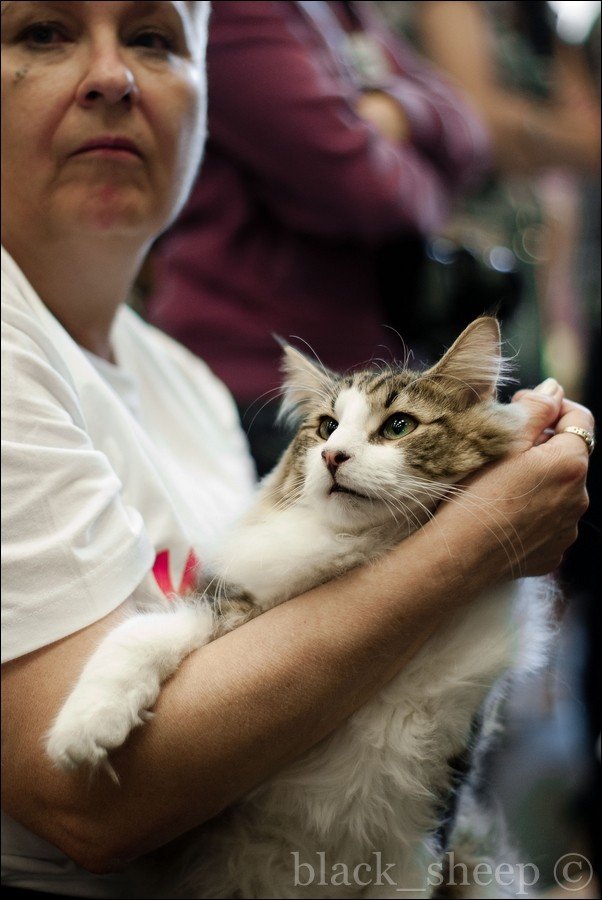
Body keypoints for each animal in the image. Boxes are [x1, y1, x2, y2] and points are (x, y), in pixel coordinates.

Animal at [47, 314, 552, 892]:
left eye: (398, 426)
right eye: (327, 428)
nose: (333, 457)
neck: (361, 548)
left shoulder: (428, 822)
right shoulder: (234, 601)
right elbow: (143, 633)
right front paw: (83, 728)